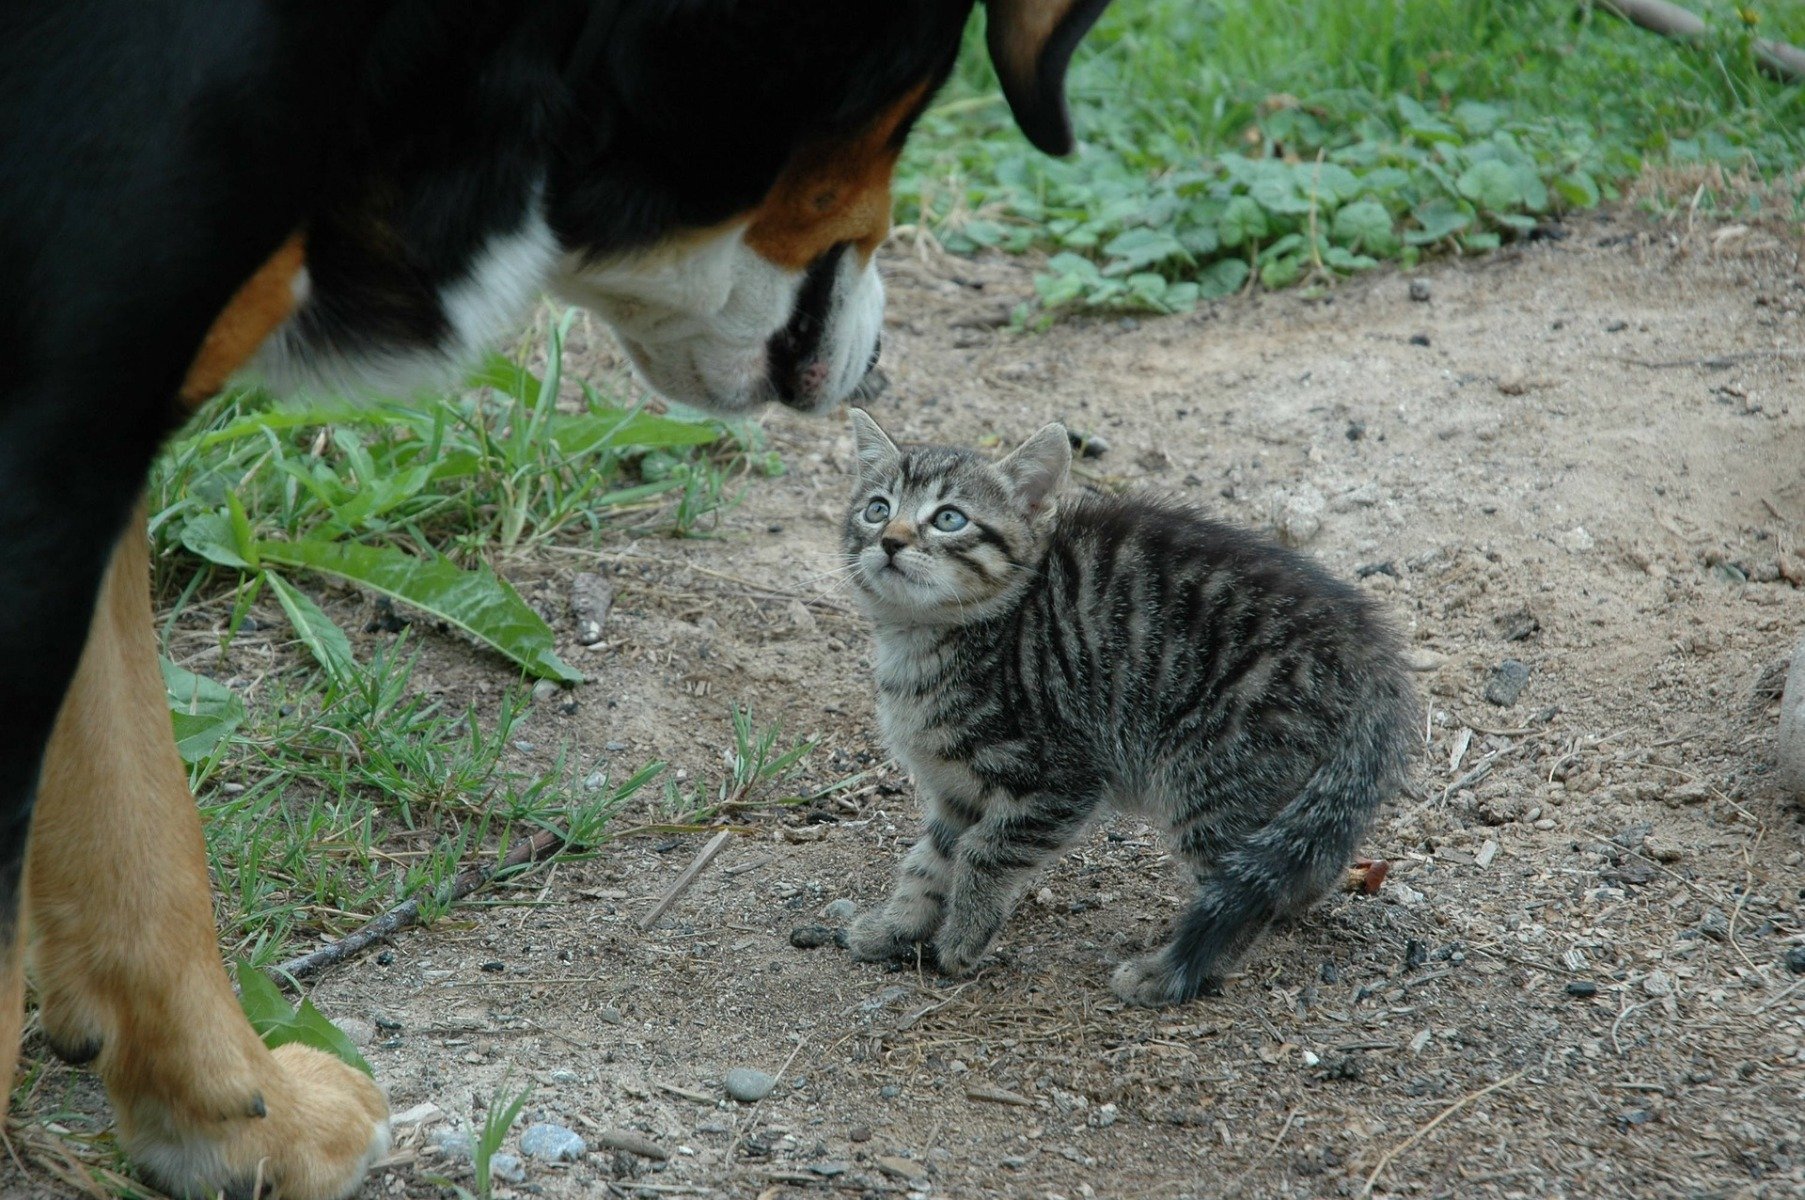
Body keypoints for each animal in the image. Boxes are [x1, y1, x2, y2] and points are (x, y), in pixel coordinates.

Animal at [844, 407, 1422, 1003]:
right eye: (877, 508)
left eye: (949, 519)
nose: (890, 540)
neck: (921, 642)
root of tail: (1370, 653)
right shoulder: (956, 790)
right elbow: (929, 861)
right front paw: (897, 925)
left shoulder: (1062, 775)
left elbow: (986, 851)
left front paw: (963, 935)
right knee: (1303, 856)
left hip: (1215, 774)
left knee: (1241, 891)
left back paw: (1166, 974)